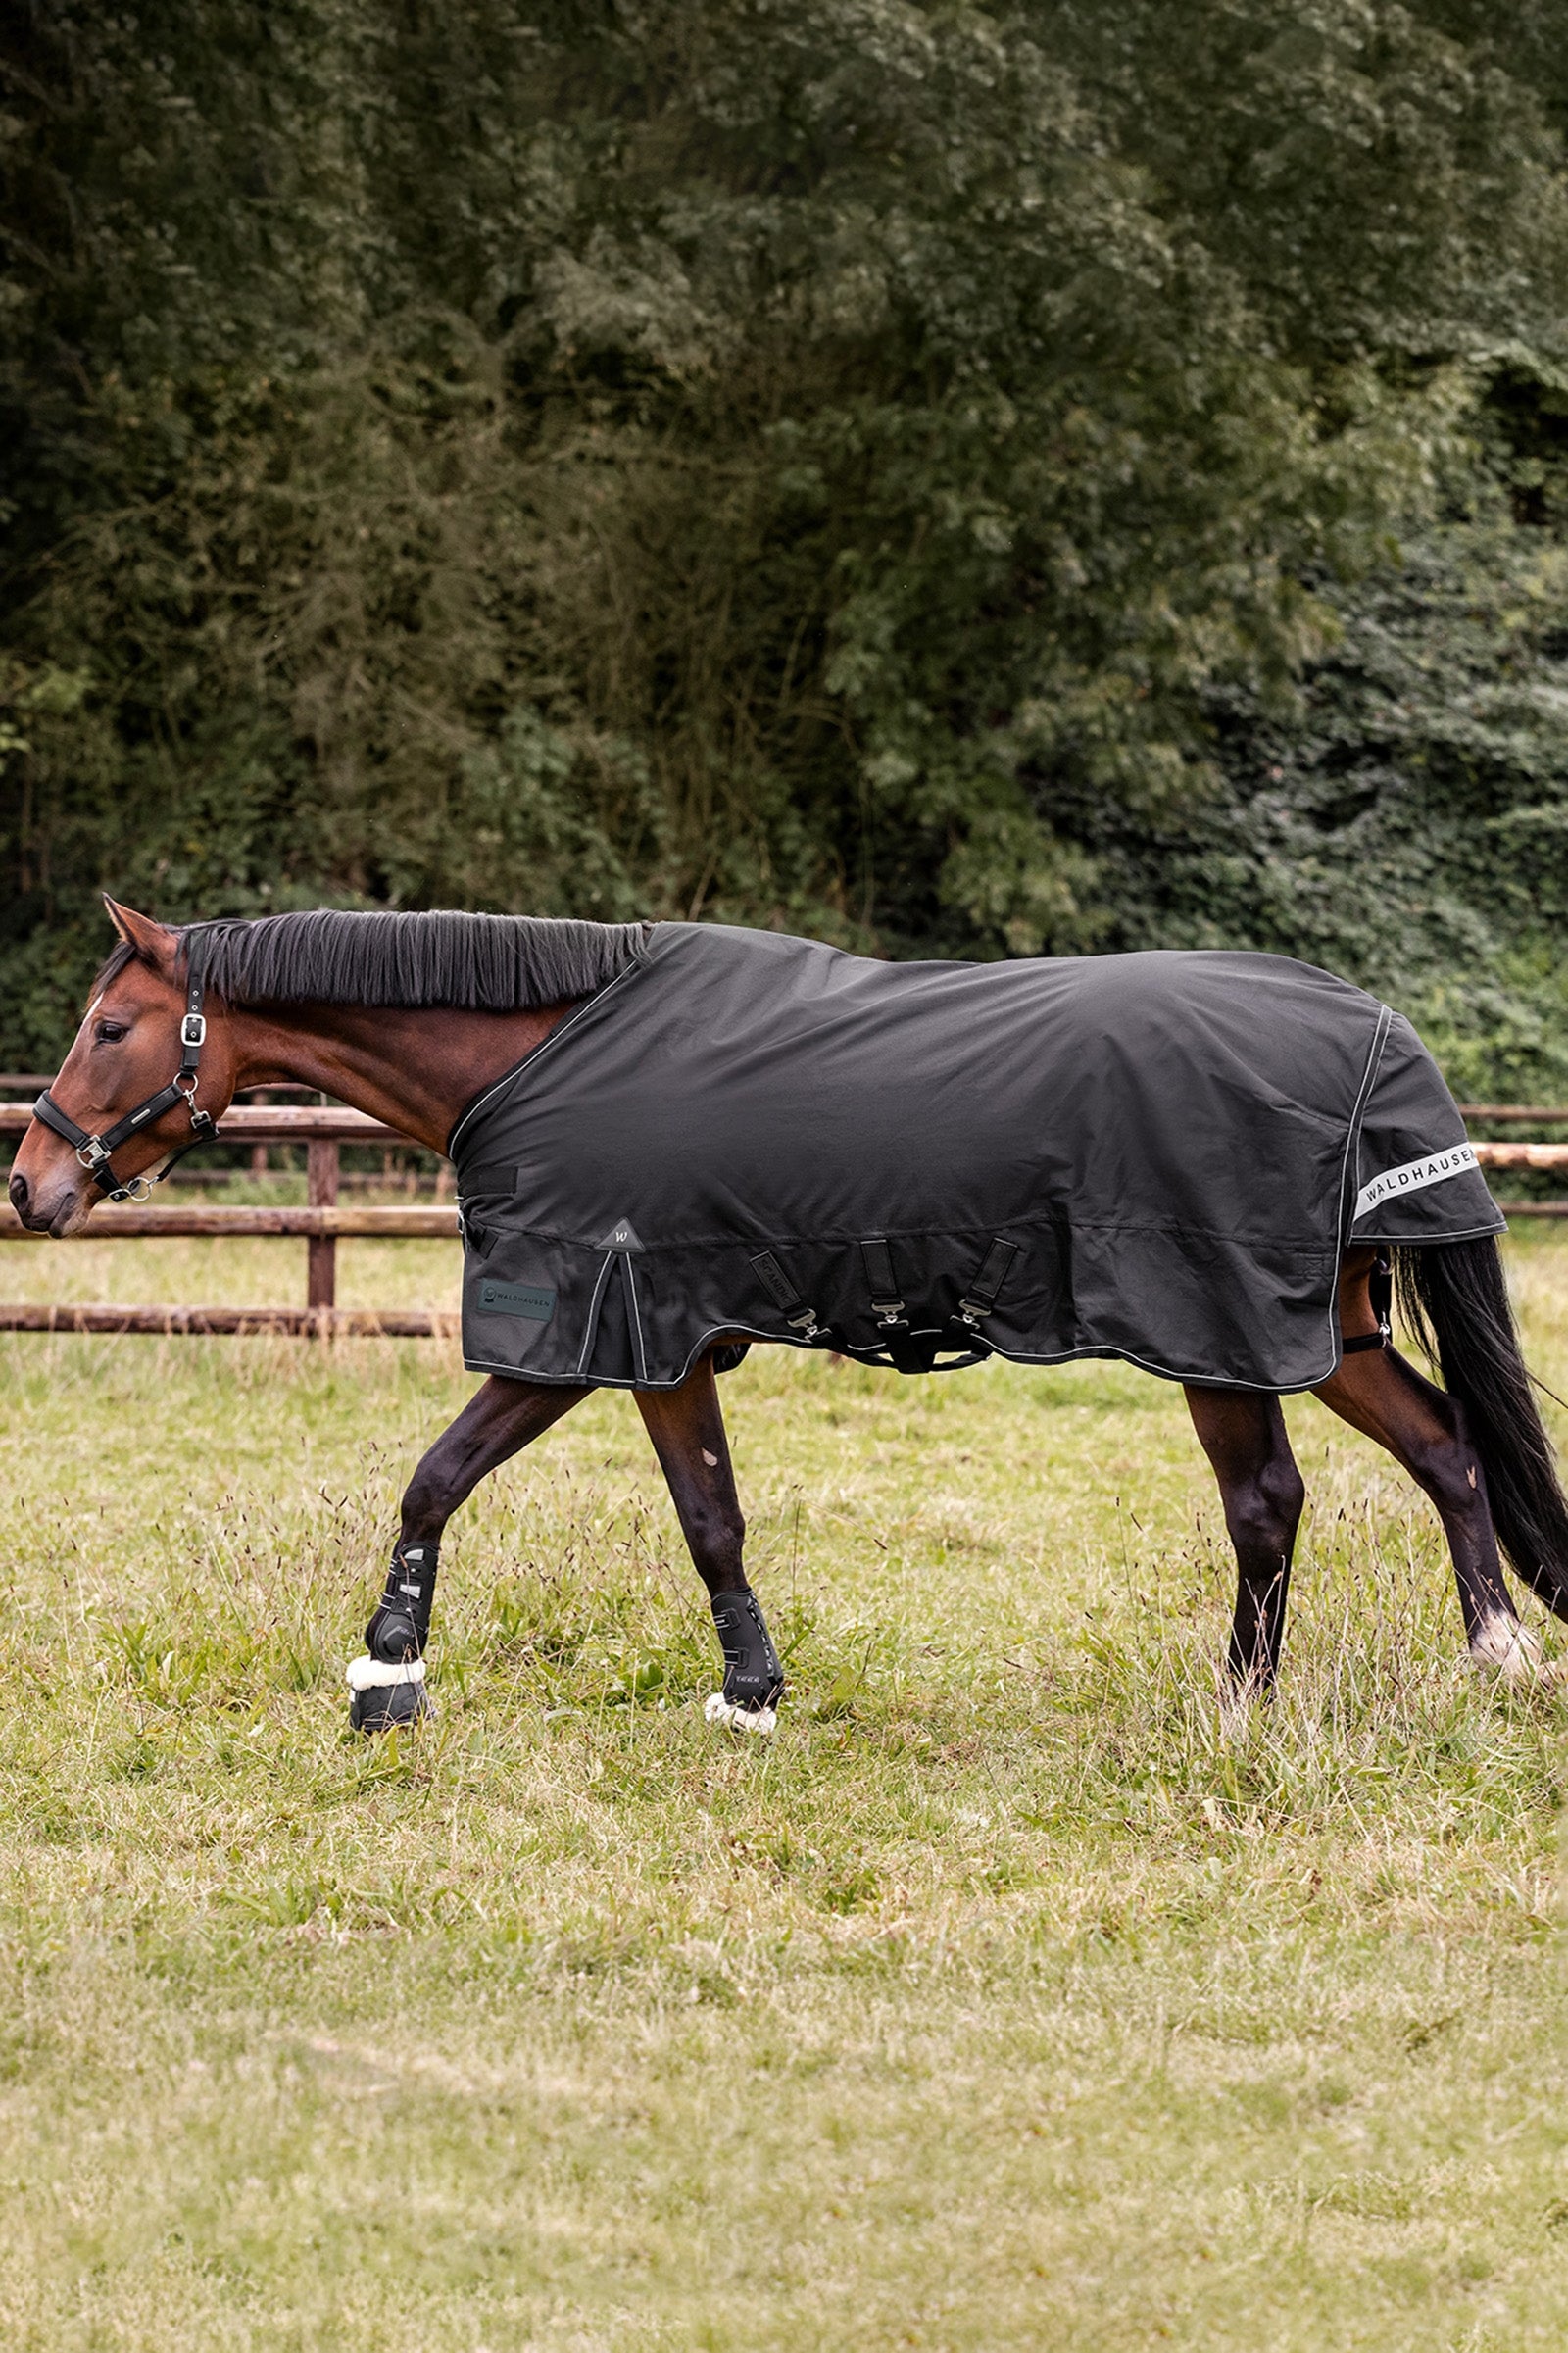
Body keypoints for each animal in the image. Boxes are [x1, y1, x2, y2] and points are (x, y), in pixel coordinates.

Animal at [10, 898, 1568, 1735]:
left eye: (106, 1028)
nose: (30, 1185)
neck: (543, 1051)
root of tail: (1370, 1030)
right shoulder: (665, 1343)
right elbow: (711, 1516)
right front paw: (751, 1690)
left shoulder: (587, 1333)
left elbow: (436, 1477)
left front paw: (387, 1674)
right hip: (1330, 1328)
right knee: (1444, 1447)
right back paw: (1496, 1655)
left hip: (1223, 1333)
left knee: (1266, 1502)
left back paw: (1243, 1702)